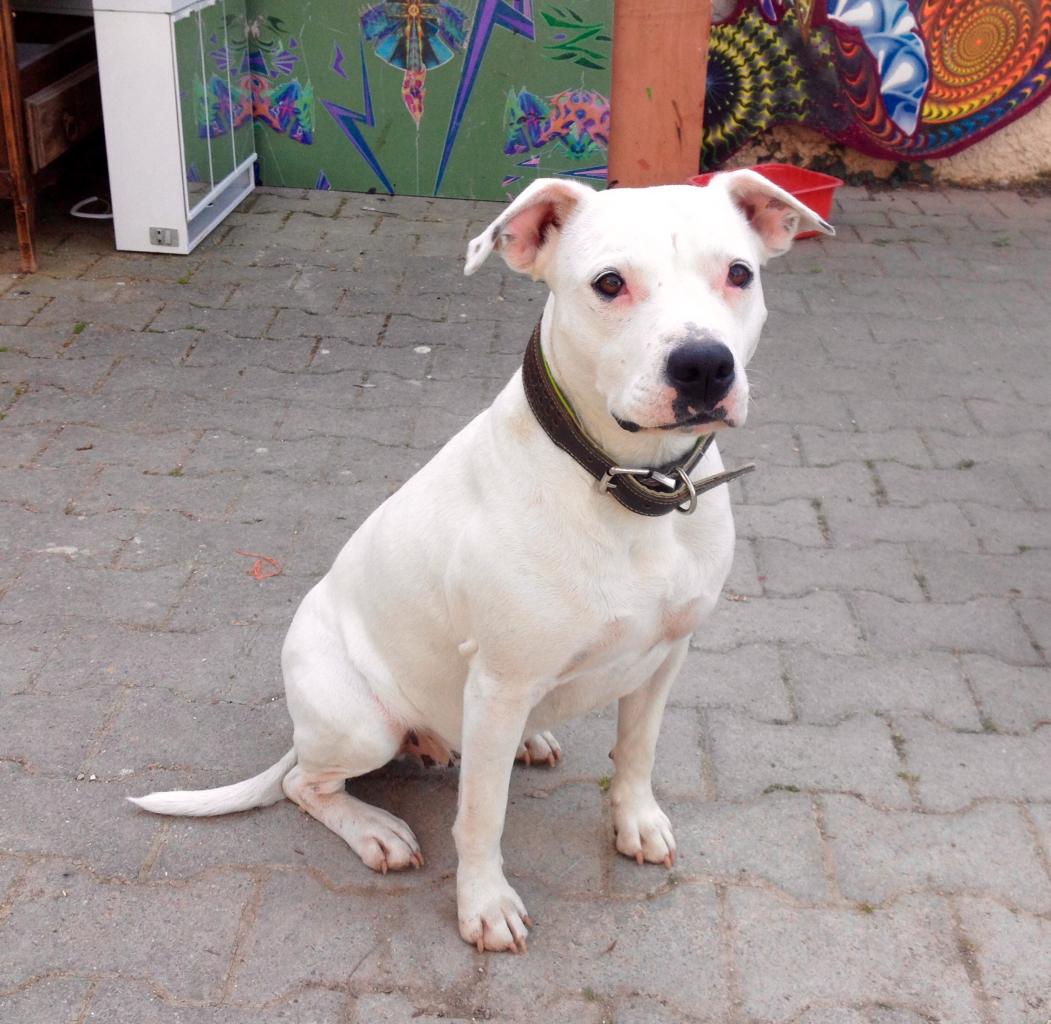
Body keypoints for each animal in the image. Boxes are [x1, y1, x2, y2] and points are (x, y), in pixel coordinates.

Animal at [131, 171, 833, 952]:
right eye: (609, 283)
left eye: (739, 274)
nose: (705, 364)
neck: (626, 486)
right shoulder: (501, 684)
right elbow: (481, 818)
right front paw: (484, 904)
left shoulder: (665, 657)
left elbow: (637, 752)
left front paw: (635, 821)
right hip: (361, 723)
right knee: (303, 785)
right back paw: (374, 829)